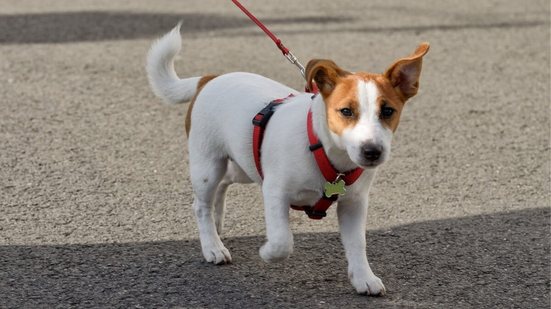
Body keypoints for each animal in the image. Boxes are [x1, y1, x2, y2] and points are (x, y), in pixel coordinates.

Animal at [148, 23, 432, 294]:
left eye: (388, 111)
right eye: (346, 111)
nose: (372, 151)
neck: (324, 150)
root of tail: (209, 79)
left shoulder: (354, 203)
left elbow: (357, 244)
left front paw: (364, 278)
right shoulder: (275, 191)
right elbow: (282, 241)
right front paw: (267, 252)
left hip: (243, 163)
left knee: (224, 184)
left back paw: (217, 226)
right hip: (207, 165)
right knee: (201, 205)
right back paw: (212, 247)